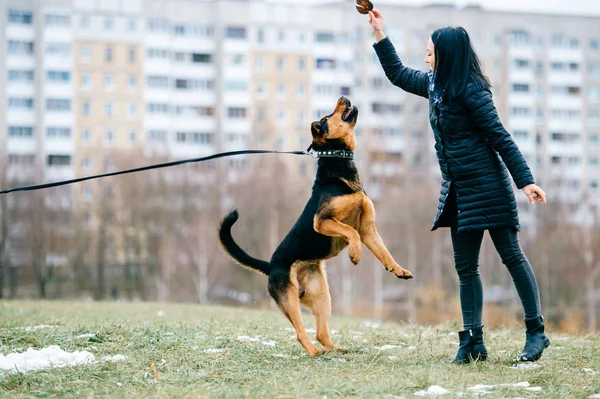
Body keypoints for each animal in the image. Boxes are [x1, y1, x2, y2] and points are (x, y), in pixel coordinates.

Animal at [219, 98, 412, 358]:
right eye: (327, 116)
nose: (344, 97)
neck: (337, 163)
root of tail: (270, 266)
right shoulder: (323, 222)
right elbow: (350, 233)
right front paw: (355, 254)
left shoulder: (369, 230)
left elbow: (384, 252)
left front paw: (398, 269)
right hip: (289, 299)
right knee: (301, 333)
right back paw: (314, 352)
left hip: (322, 296)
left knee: (322, 333)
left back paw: (336, 350)